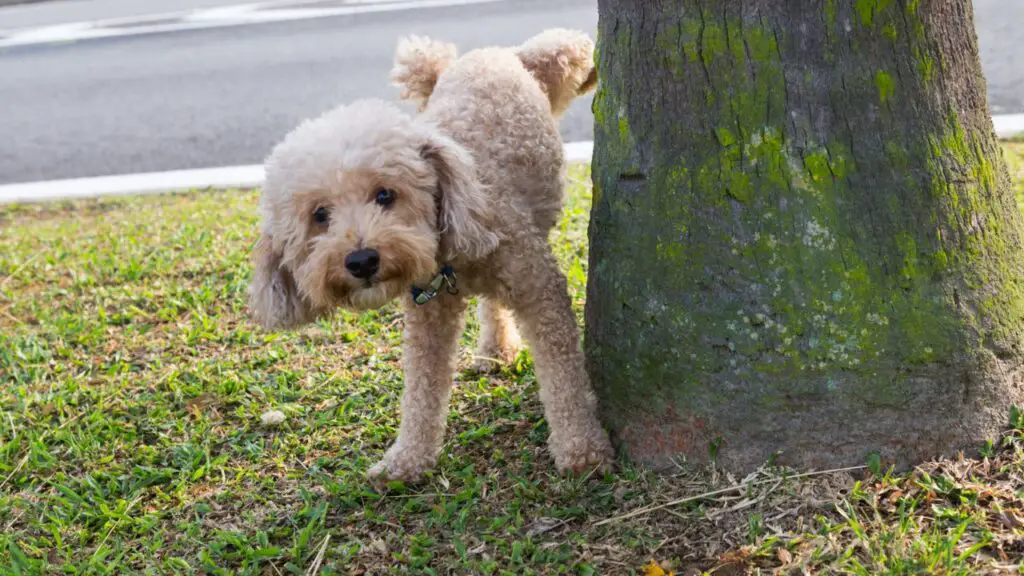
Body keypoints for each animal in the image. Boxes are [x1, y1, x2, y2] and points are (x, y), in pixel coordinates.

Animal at [248, 29, 610, 481]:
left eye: (385, 195)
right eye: (320, 215)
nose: (361, 261)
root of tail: (488, 54)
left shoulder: (539, 289)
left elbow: (563, 373)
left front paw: (581, 447)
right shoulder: (428, 316)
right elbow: (422, 389)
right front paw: (407, 459)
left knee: (566, 44)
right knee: (491, 306)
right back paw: (495, 349)